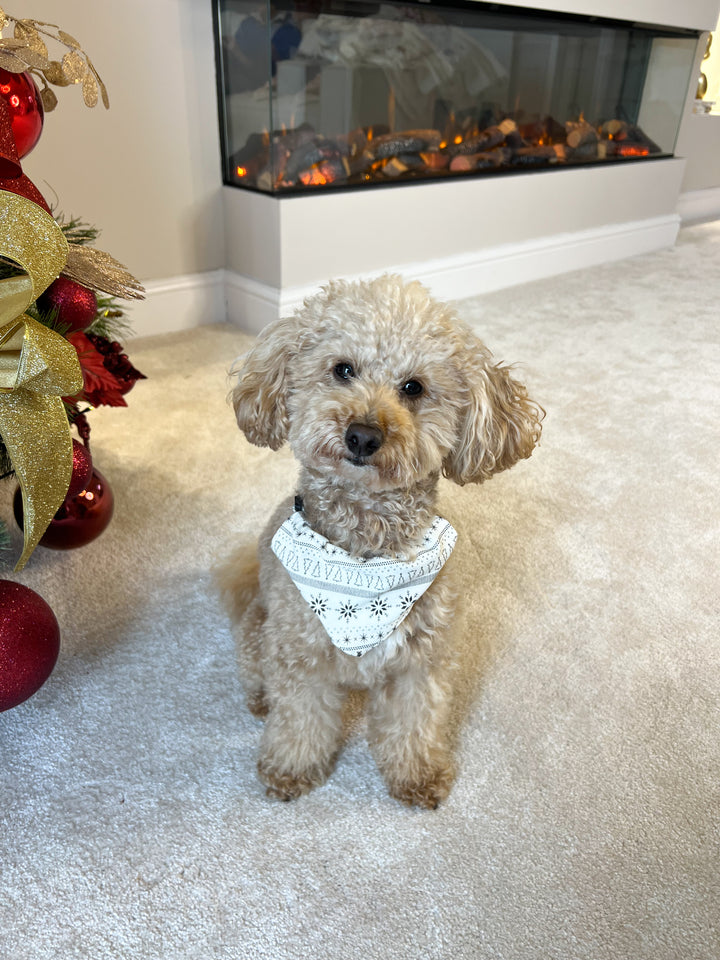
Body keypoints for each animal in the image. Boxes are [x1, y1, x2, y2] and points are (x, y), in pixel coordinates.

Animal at [217, 274, 544, 808]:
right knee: (258, 674)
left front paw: (416, 775)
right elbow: (300, 721)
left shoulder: (420, 662)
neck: (365, 556)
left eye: (414, 387)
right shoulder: (301, 658)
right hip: (260, 632)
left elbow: (414, 722)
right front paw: (291, 769)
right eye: (342, 369)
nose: (363, 435)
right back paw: (260, 699)